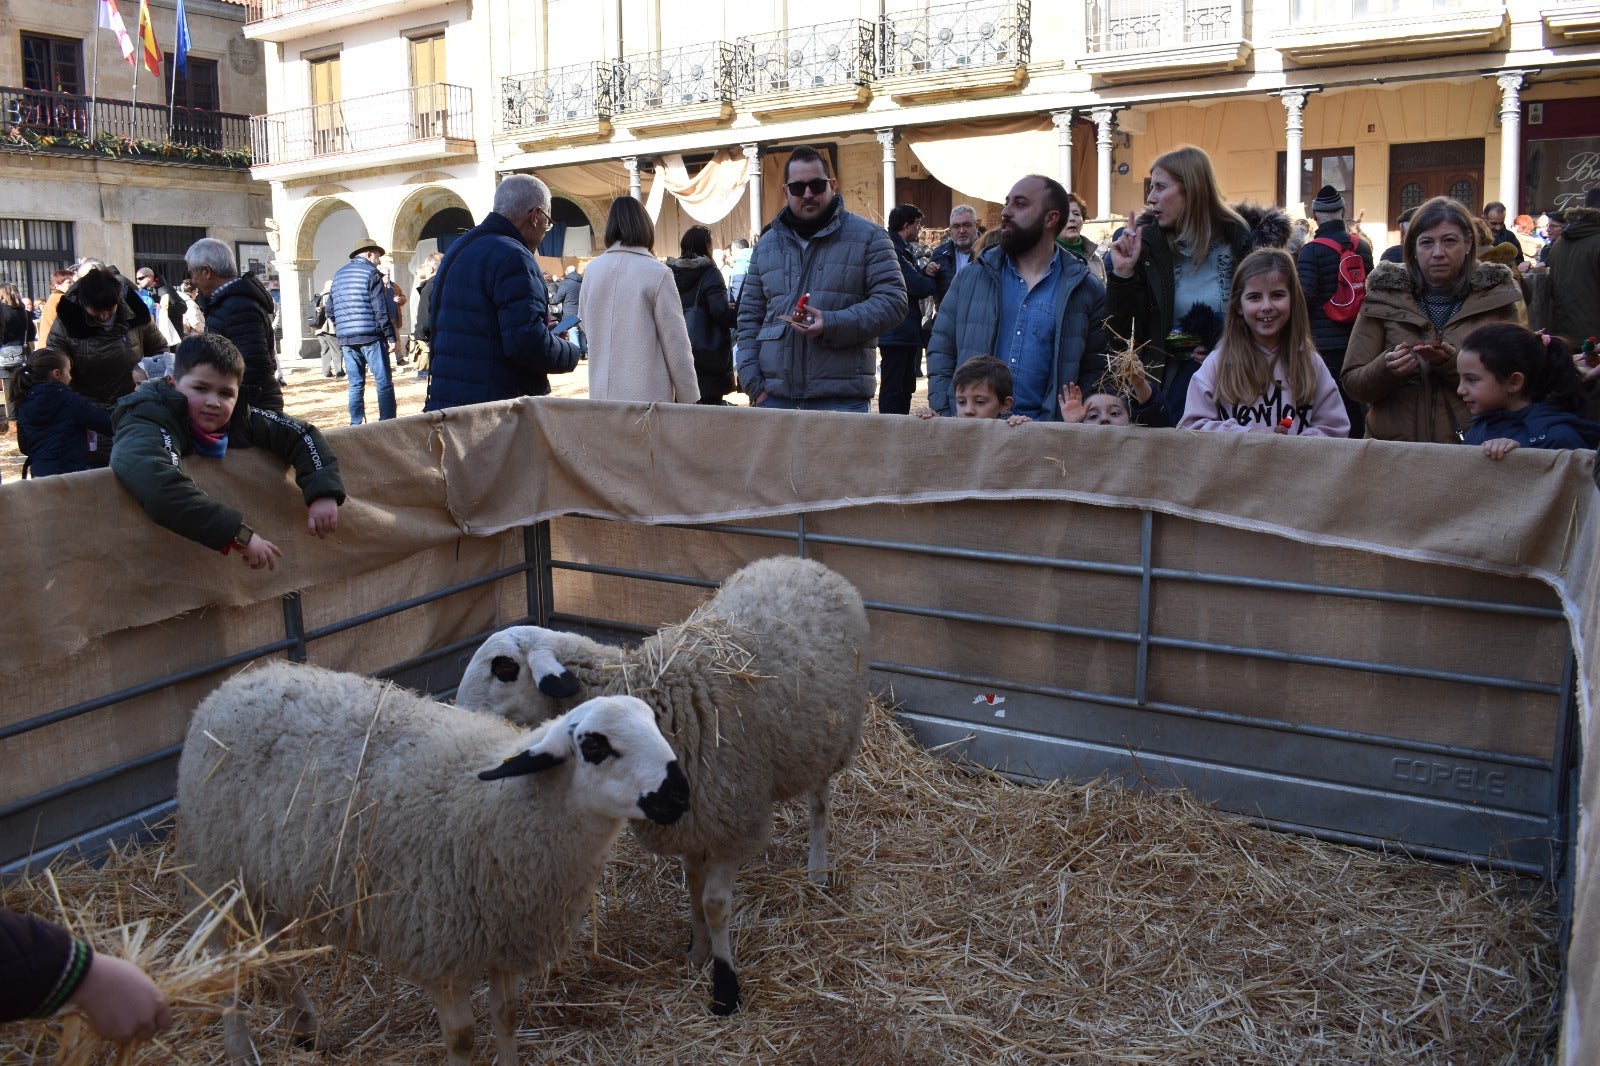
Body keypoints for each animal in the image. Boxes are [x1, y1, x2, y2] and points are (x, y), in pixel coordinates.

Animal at [178, 659, 691, 1056]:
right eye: (596, 745)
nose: (680, 793)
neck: (500, 805)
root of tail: (236, 684)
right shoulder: (438, 949)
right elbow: (463, 1038)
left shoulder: (505, 935)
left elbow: (507, 1016)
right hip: (222, 874)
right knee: (228, 962)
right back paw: (241, 1049)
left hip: (273, 876)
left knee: (273, 949)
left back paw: (307, 1030)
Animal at [457, 557, 870, 1011]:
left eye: (504, 667)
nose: (457, 714)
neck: (644, 691)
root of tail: (802, 562)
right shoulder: (689, 819)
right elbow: (693, 888)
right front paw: (697, 952)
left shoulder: (731, 818)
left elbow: (714, 904)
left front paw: (725, 987)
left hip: (829, 738)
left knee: (819, 804)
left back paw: (818, 868)